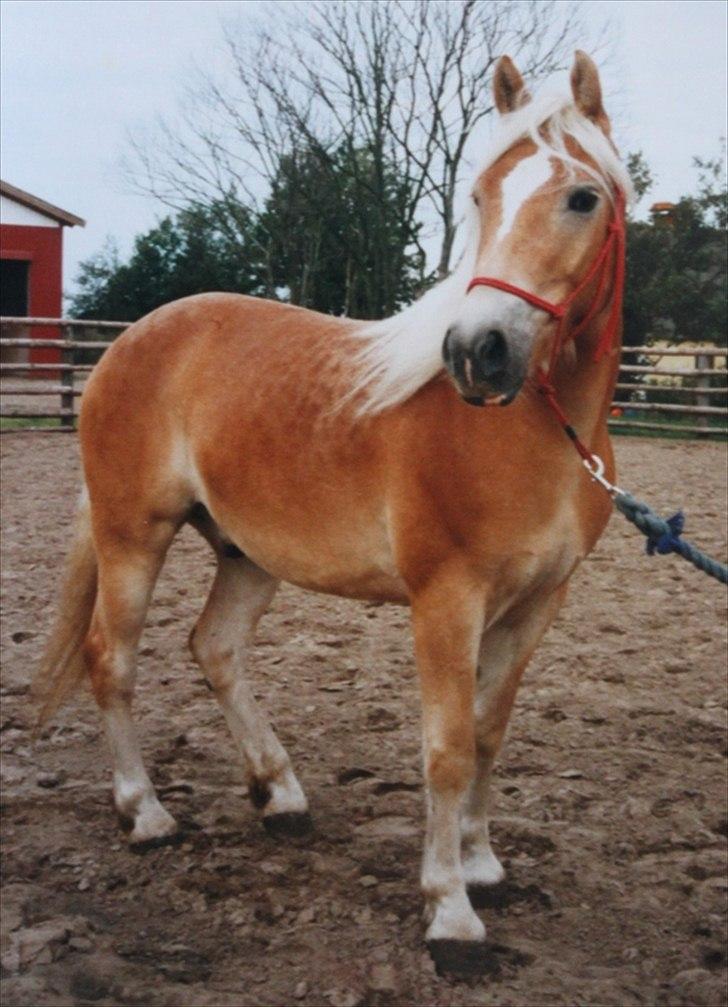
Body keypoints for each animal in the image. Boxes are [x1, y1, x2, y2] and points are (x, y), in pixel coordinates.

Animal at [38, 49, 632, 974]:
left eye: (581, 197)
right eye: (481, 195)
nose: (479, 351)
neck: (534, 429)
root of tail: (131, 340)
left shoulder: (539, 602)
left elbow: (490, 732)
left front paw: (483, 864)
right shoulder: (446, 600)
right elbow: (447, 749)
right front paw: (450, 911)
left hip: (246, 552)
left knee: (214, 648)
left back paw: (280, 792)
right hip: (133, 535)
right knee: (113, 659)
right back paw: (147, 813)